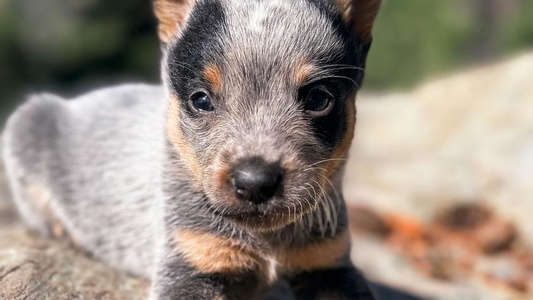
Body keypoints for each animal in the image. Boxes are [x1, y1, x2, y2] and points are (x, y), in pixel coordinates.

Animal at [3, 1, 378, 298]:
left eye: (318, 98)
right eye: (201, 99)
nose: (255, 182)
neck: (267, 240)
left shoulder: (328, 263)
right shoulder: (190, 259)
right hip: (26, 123)